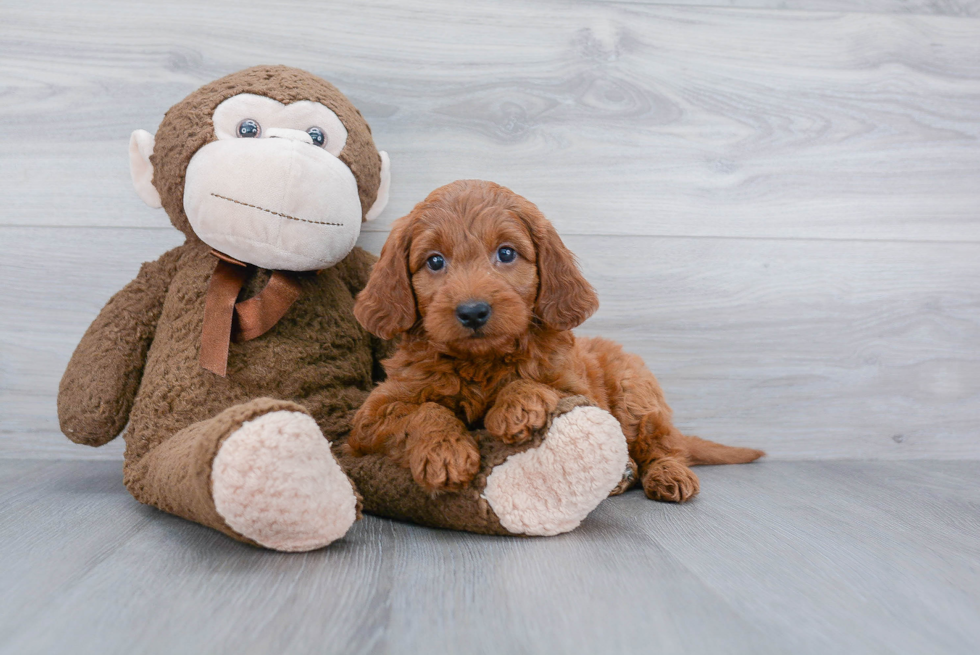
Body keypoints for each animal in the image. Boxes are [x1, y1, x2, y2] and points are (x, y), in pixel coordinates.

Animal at [352, 179, 764, 498]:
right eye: (435, 261)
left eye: (506, 253)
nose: (472, 311)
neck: (481, 361)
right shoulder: (369, 421)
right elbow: (424, 411)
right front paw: (445, 452)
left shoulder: (579, 391)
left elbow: (537, 383)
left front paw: (517, 405)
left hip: (634, 391)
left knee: (665, 445)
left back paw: (667, 473)